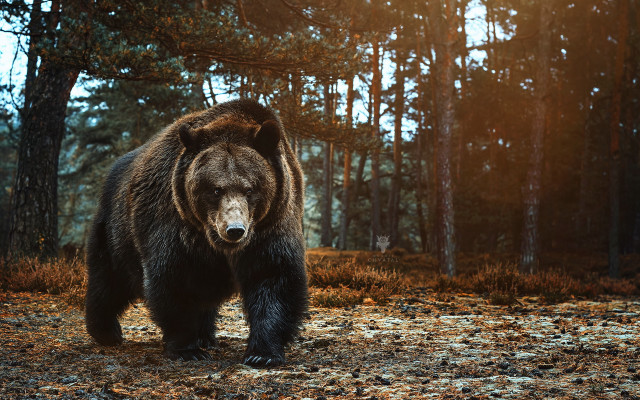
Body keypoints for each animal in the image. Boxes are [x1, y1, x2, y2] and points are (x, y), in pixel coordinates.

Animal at [85, 99, 307, 367]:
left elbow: (274, 278)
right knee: (109, 278)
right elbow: (175, 279)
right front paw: (187, 349)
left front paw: (262, 353)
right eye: (215, 189)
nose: (234, 230)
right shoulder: (175, 224)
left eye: (250, 188)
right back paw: (106, 331)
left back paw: (206, 337)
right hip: (117, 231)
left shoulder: (271, 224)